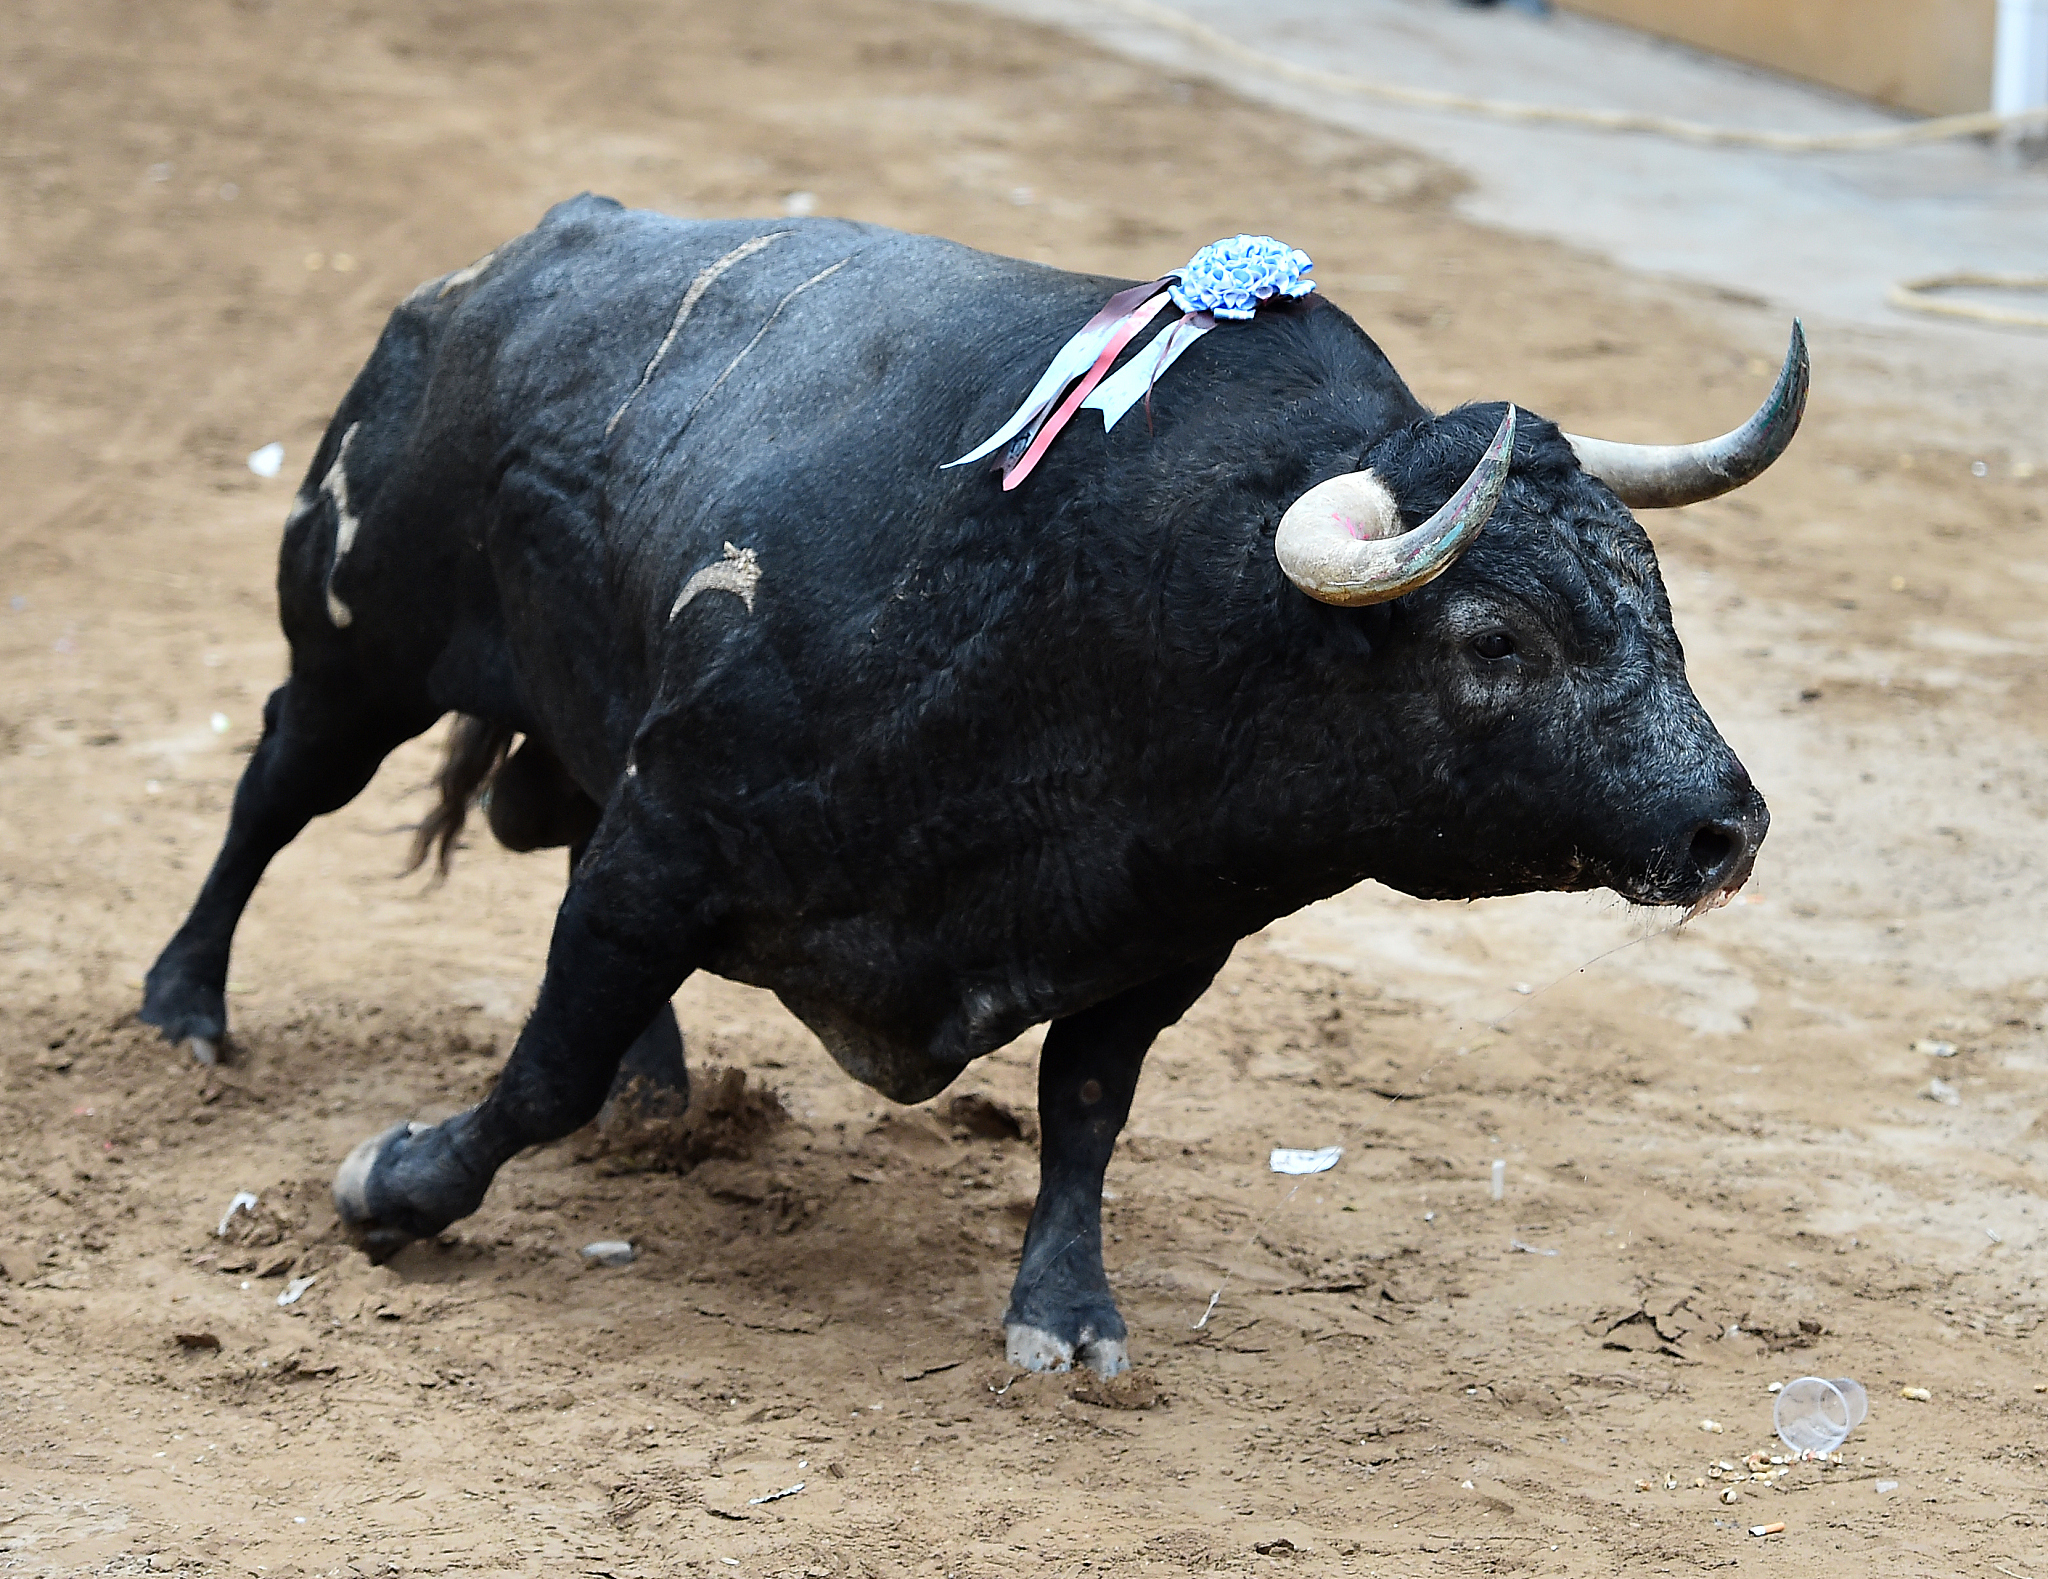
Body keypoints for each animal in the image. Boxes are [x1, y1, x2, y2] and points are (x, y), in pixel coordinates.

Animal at [140, 197, 1777, 1376]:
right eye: (1494, 638)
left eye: (1657, 592)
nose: (1727, 828)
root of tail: (489, 273)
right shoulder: (674, 841)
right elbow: (541, 1067)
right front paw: (398, 1187)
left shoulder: (1159, 938)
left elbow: (1085, 1107)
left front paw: (1067, 1312)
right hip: (362, 642)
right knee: (276, 790)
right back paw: (183, 1009)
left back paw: (663, 1095)